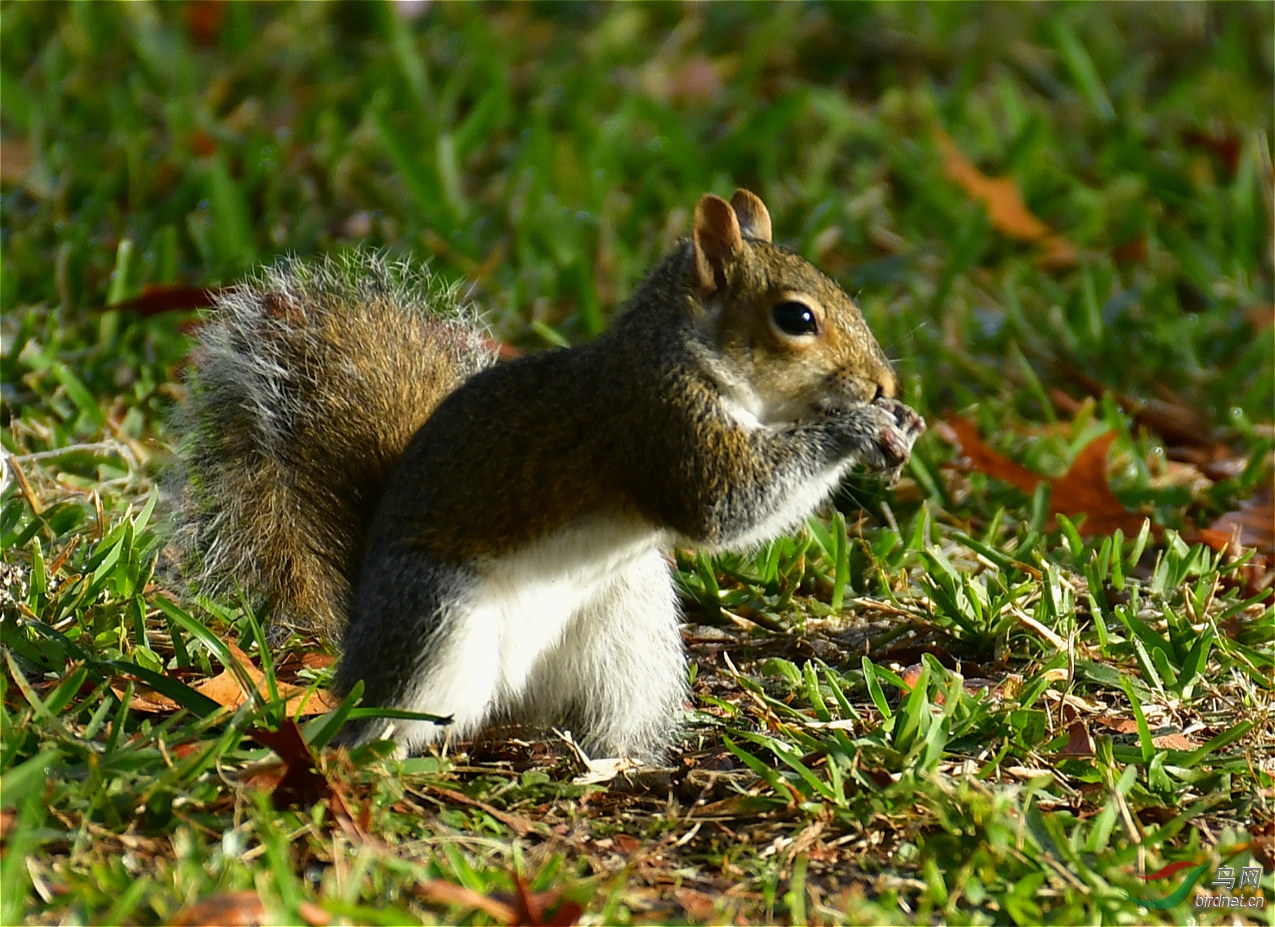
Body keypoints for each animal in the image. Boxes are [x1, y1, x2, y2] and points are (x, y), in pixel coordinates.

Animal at [172, 189, 928, 759]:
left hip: (626, 624)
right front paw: (857, 427)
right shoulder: (659, 429)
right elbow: (722, 507)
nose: (883, 383)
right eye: (796, 317)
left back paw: (615, 760)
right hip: (434, 614)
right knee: (388, 718)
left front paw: (901, 421)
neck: (687, 357)